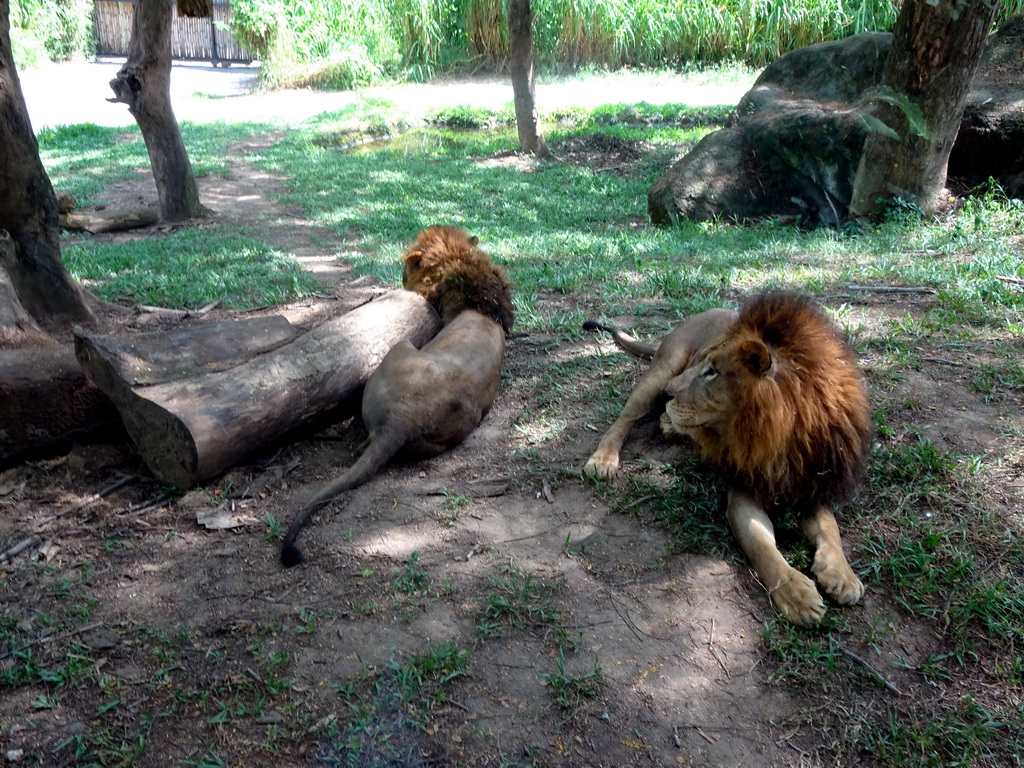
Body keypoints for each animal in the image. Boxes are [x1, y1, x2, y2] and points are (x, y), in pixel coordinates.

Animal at [589, 292, 868, 626]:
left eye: (713, 371)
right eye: (704, 365)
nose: (669, 393)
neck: (779, 436)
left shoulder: (811, 483)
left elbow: (830, 528)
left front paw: (842, 575)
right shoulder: (743, 492)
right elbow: (763, 549)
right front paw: (795, 595)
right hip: (661, 372)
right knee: (624, 418)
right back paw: (603, 459)